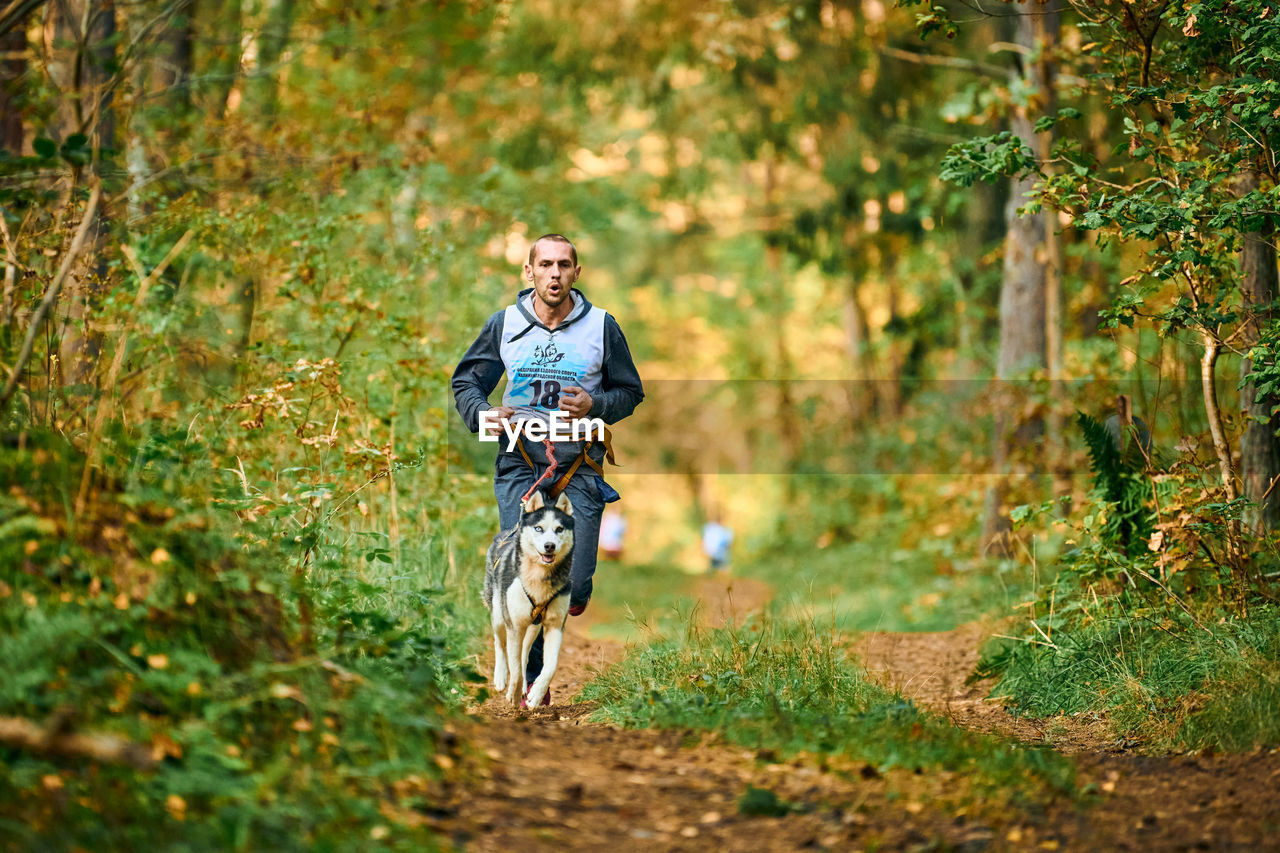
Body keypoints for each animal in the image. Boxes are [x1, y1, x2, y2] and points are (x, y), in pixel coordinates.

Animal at [481, 489, 578, 701]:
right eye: (539, 528)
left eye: (559, 529)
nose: (550, 546)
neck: (539, 575)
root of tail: (505, 534)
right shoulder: (514, 625)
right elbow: (515, 667)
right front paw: (513, 693)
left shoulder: (555, 624)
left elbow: (550, 667)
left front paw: (536, 696)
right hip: (499, 613)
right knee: (500, 643)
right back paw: (501, 678)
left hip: (534, 625)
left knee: (525, 654)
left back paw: (526, 687)